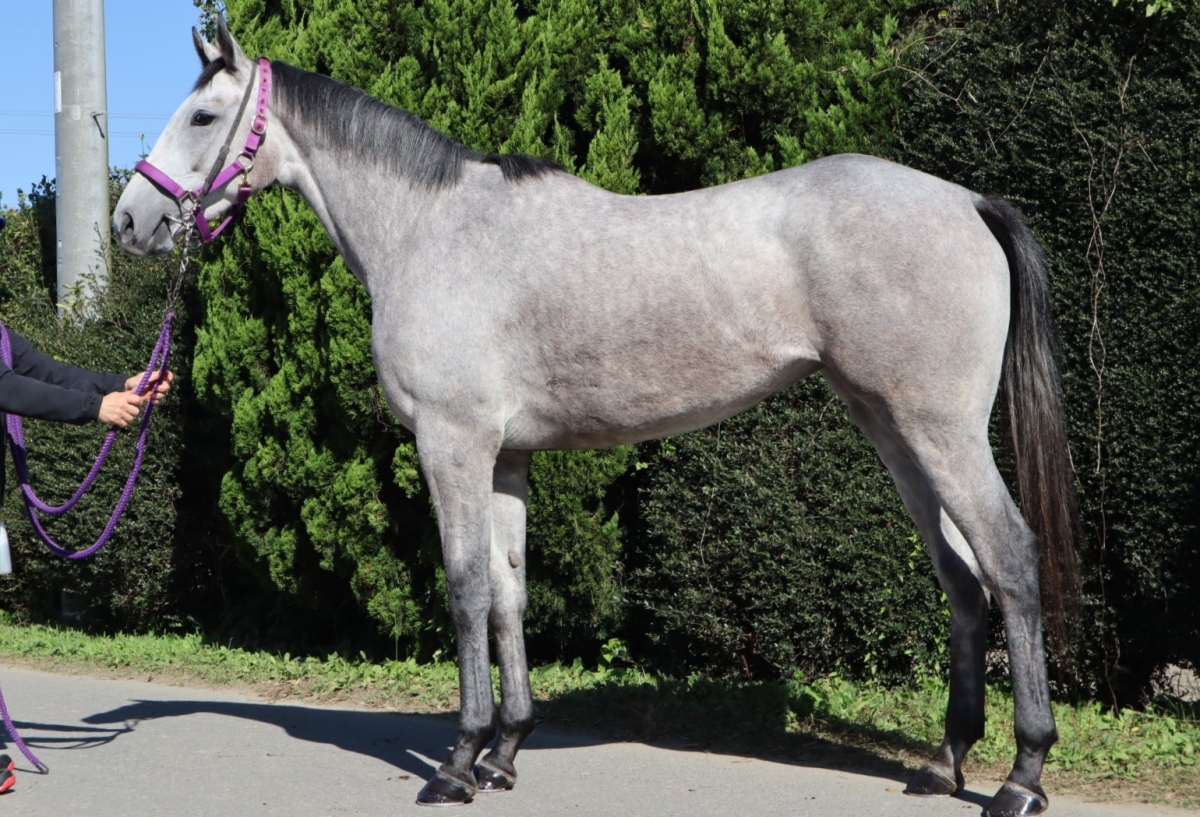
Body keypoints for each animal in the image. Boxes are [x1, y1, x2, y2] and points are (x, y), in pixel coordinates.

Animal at [114, 17, 1079, 817]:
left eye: (203, 116)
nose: (131, 220)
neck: (431, 228)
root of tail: (965, 201)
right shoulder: (505, 457)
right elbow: (510, 591)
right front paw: (506, 751)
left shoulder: (453, 444)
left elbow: (465, 587)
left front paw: (457, 763)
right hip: (893, 430)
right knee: (962, 577)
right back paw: (945, 764)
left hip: (940, 430)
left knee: (1009, 557)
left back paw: (1020, 777)